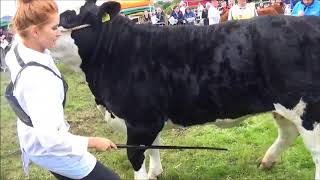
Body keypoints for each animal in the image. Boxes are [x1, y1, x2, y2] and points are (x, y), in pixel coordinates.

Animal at [54, 0, 320, 179]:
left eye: (67, 17)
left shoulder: (141, 121)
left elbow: (136, 157)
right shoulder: (148, 119)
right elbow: (155, 147)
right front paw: (156, 172)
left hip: (309, 111)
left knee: (316, 152)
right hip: (281, 105)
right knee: (287, 133)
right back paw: (267, 161)